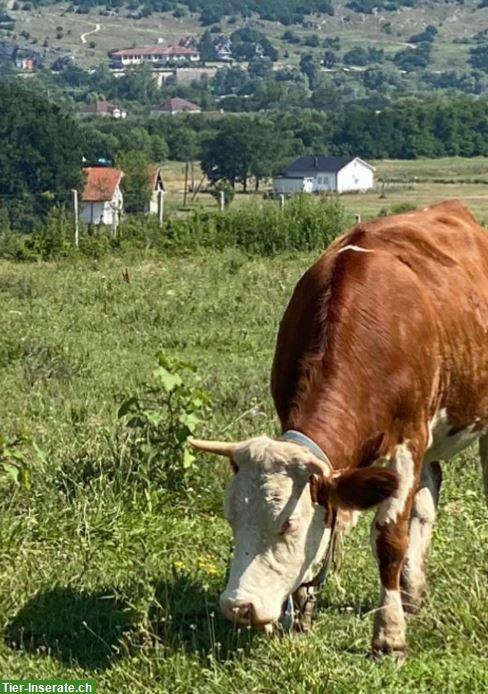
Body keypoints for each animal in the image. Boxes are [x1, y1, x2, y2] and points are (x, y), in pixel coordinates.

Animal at [190, 201, 488, 656]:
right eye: (231, 518)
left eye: (288, 525)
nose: (238, 607)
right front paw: (304, 612)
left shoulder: (408, 440)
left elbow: (389, 538)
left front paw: (389, 634)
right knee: (429, 491)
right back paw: (413, 592)